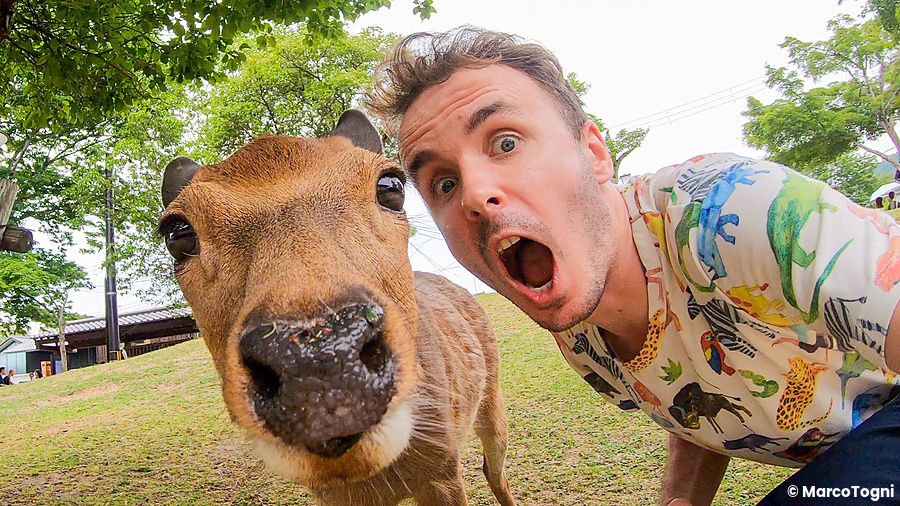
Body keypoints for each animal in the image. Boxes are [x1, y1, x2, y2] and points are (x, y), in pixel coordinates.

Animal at [158, 110, 516, 506]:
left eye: (391, 185)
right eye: (176, 232)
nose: (318, 363)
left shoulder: (443, 466)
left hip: (493, 396)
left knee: (495, 469)